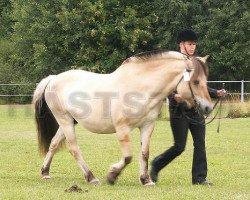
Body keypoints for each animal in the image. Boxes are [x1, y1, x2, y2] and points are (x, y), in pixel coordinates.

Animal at [32, 49, 213, 186]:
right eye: (196, 81)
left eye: (205, 80)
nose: (208, 107)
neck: (140, 88)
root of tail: (54, 79)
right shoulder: (122, 129)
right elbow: (128, 157)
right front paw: (112, 175)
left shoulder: (147, 126)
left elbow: (144, 153)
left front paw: (146, 180)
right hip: (65, 120)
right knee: (73, 148)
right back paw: (91, 178)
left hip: (69, 121)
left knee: (54, 144)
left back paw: (45, 172)